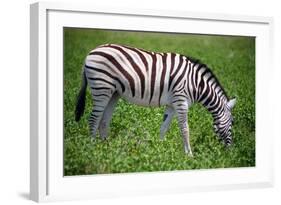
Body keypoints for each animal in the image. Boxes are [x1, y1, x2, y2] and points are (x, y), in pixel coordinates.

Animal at [74, 43, 234, 155]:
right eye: (233, 122)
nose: (231, 151)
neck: (196, 84)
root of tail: (90, 52)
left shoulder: (172, 104)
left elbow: (164, 127)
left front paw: (160, 150)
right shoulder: (181, 101)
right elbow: (185, 129)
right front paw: (189, 155)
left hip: (113, 93)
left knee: (103, 121)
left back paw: (106, 148)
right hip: (102, 87)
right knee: (93, 119)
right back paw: (93, 148)